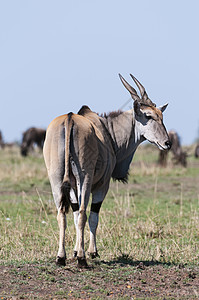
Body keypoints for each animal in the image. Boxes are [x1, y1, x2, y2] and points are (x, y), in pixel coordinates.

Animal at [43, 74, 171, 266]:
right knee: (83, 213)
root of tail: (69, 118)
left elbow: (73, 215)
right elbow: (93, 216)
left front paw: (75, 250)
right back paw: (82, 259)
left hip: (57, 180)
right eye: (148, 115)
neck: (108, 132)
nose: (167, 143)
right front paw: (91, 252)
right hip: (85, 178)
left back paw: (60, 257)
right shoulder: (102, 186)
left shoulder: (71, 186)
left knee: (62, 214)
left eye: (161, 115)